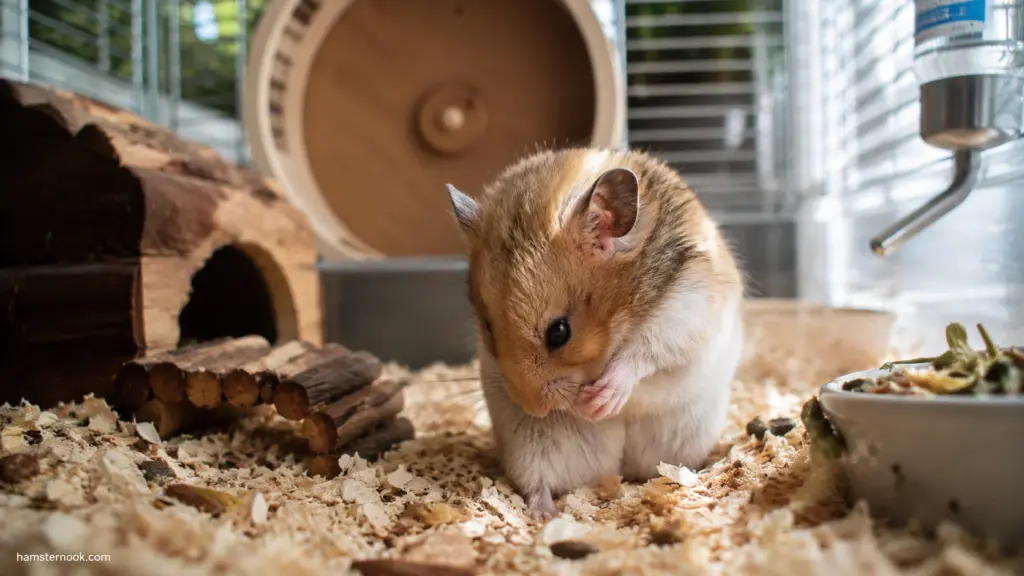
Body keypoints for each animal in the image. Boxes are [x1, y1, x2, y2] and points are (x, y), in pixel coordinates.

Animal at [445, 147, 745, 520]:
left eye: (559, 332)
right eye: (487, 328)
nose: (533, 410)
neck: (620, 317)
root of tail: (616, 470)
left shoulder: (685, 310)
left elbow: (643, 355)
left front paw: (599, 402)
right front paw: (588, 408)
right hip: (533, 446)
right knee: (538, 483)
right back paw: (545, 515)